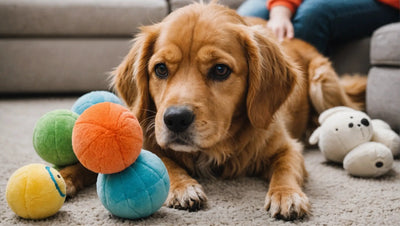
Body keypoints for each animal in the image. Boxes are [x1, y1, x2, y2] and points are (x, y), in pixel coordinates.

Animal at [59, 1, 366, 221]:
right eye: (160, 69)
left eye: (220, 70)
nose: (175, 120)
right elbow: (160, 161)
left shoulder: (287, 147)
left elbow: (285, 168)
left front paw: (287, 195)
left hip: (321, 82)